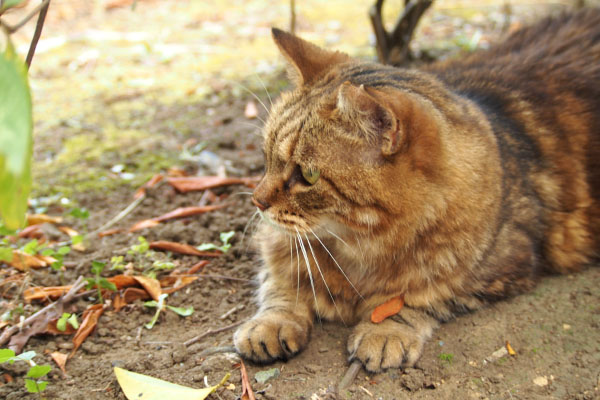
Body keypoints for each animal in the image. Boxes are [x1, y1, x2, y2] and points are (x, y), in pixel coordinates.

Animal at [232, 9, 596, 372]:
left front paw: (385, 330)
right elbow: (280, 284)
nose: (257, 201)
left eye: (308, 175)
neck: (354, 249)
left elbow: (417, 297)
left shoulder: (504, 268)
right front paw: (272, 321)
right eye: (266, 158)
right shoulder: (278, 247)